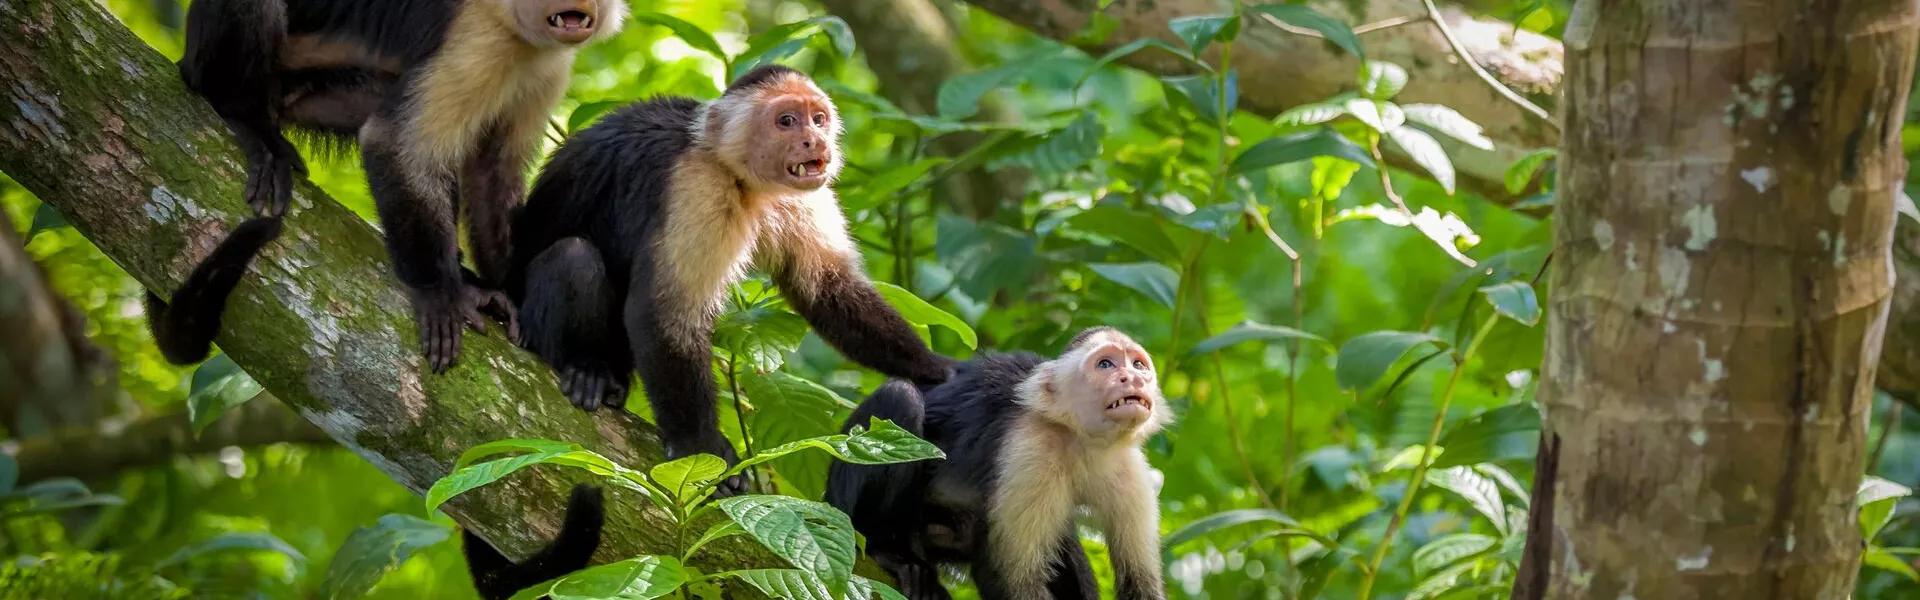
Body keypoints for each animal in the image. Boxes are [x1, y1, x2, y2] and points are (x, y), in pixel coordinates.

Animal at [144, 0, 628, 371]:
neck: (520, 32)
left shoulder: (547, 68)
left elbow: (491, 171)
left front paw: (504, 286)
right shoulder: (478, 37)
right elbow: (393, 142)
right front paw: (439, 293)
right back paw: (241, 115)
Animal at [503, 64, 955, 496]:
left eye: (819, 118)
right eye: (787, 121)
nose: (815, 141)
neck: (734, 168)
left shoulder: (800, 194)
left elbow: (826, 286)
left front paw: (942, 371)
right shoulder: (698, 185)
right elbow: (664, 313)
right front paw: (698, 446)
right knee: (573, 257)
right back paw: (586, 369)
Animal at [825, 326, 1172, 600]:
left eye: (1138, 364)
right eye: (1105, 364)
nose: (1132, 378)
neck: (1080, 437)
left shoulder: (1129, 468)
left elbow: (1141, 584)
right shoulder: (1029, 451)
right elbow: (1011, 580)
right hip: (842, 500)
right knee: (901, 397)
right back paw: (884, 552)